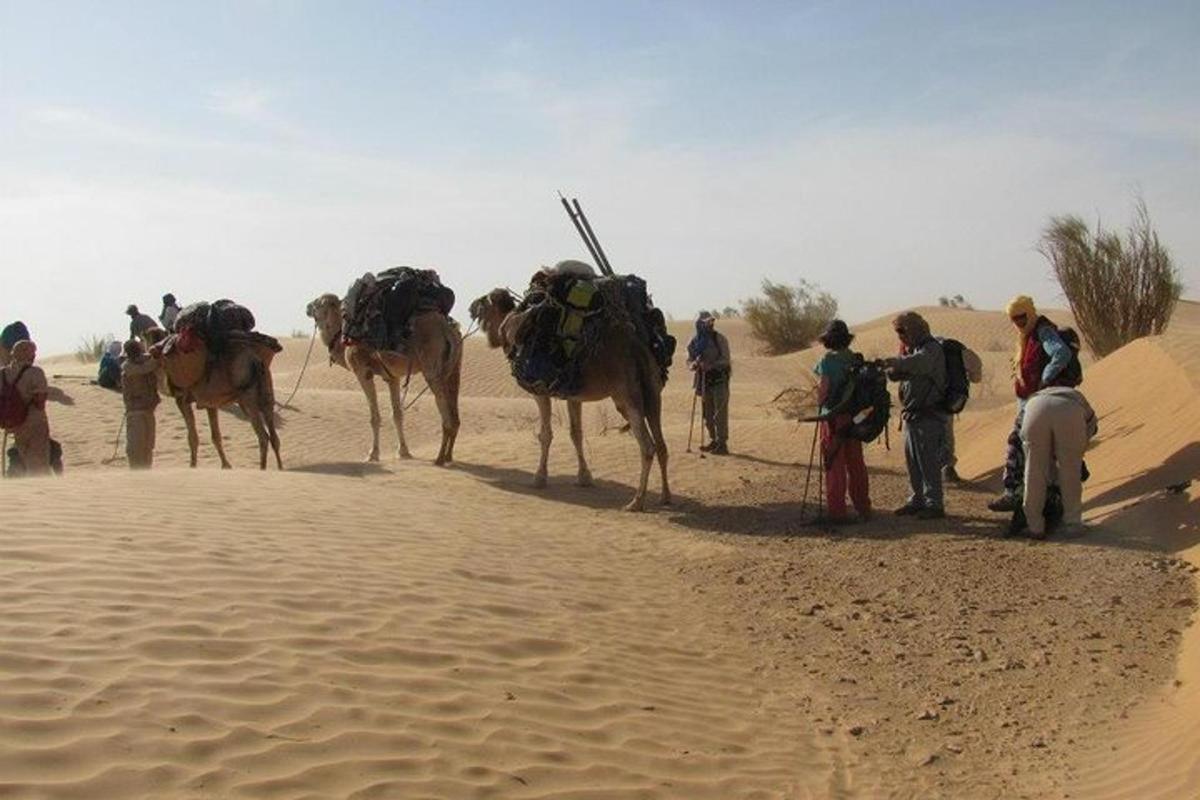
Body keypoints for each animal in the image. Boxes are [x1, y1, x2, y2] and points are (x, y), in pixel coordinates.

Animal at [304, 292, 463, 470]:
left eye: (318, 303)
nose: (307, 307)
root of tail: (447, 329)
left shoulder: (363, 373)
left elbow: (374, 417)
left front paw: (372, 454)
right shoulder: (392, 376)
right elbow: (397, 414)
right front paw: (404, 452)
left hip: (431, 368)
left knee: (446, 415)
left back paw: (439, 458)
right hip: (454, 367)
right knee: (454, 411)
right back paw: (448, 456)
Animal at [468, 271, 672, 513]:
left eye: (486, 300)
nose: (471, 306)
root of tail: (638, 349)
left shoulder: (539, 390)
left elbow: (545, 434)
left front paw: (539, 478)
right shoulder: (574, 395)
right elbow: (576, 433)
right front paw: (584, 477)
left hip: (627, 395)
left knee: (648, 446)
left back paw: (636, 502)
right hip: (652, 392)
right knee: (661, 444)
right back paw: (665, 497)